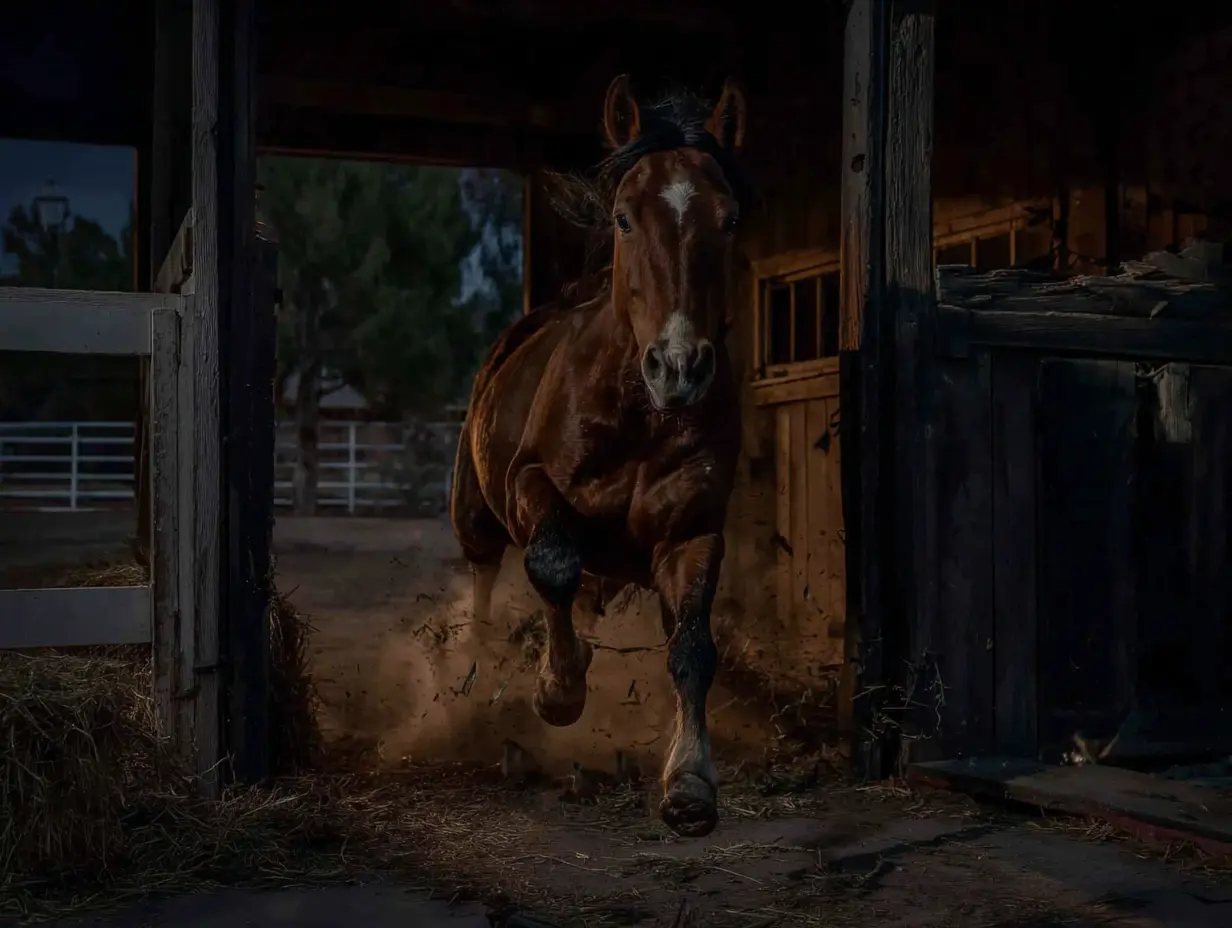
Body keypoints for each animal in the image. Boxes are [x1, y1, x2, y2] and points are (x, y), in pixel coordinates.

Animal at [450, 75, 751, 838]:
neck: (639, 416)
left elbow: (692, 647)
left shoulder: (694, 533)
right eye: (623, 218)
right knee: (489, 586)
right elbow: (552, 561)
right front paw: (556, 691)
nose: (679, 367)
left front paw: (690, 785)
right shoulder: (531, 487)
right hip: (476, 518)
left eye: (729, 219)